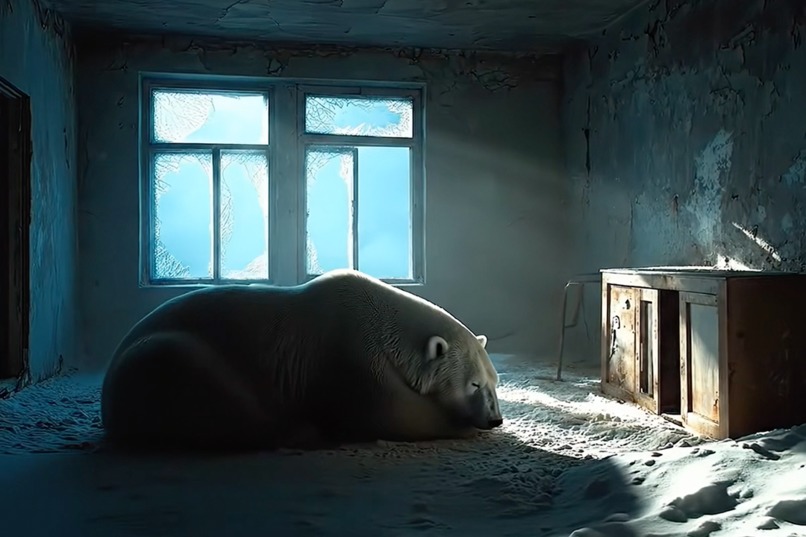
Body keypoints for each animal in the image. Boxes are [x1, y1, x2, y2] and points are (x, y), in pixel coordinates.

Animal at [100, 268, 503, 451]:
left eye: (495, 383)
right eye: (473, 384)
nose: (495, 419)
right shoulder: (349, 354)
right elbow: (390, 413)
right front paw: (459, 424)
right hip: (165, 357)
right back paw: (301, 432)